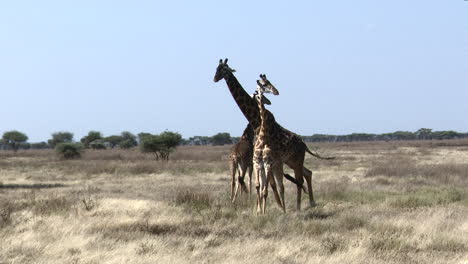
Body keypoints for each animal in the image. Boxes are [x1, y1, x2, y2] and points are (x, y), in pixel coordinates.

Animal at [212, 58, 332, 210]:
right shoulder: (264, 159)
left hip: (295, 160)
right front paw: (262, 207)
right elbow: (265, 184)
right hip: (290, 160)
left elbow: (270, 184)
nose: (215, 78)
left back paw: (299, 206)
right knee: (307, 173)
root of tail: (304, 144)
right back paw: (311, 202)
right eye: (216, 68)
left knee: (300, 178)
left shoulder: (268, 159)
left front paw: (275, 206)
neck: (256, 121)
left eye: (224, 69)